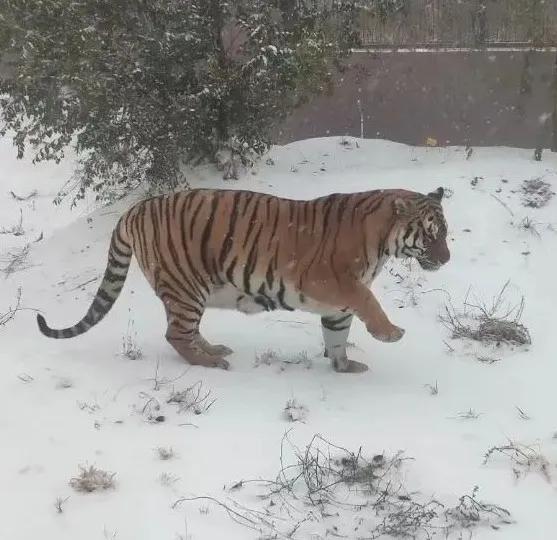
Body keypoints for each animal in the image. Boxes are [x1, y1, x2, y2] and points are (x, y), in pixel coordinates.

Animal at [37, 186, 450, 372]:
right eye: (431, 235)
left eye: (445, 233)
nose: (447, 259)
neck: (382, 242)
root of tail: (135, 208)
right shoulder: (330, 280)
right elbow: (368, 301)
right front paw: (389, 333)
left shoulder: (336, 304)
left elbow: (336, 335)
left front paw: (345, 367)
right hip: (186, 286)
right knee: (176, 334)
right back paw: (209, 363)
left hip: (189, 292)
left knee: (185, 331)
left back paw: (214, 350)